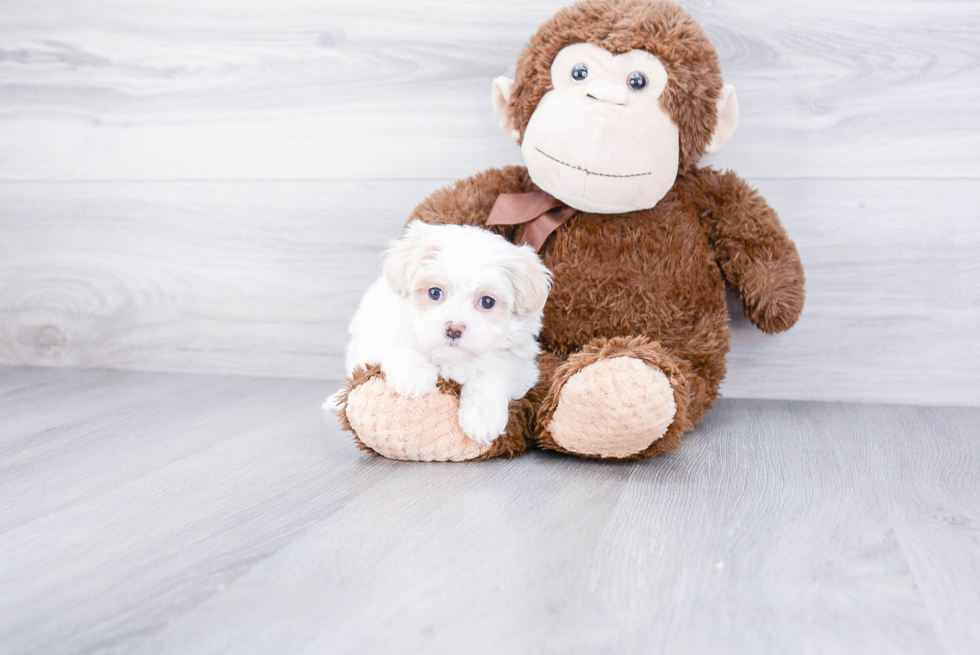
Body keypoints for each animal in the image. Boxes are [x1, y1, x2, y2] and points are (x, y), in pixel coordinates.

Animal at [332, 222, 552, 446]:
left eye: (487, 302)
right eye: (434, 293)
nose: (454, 329)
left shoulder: (521, 367)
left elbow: (492, 377)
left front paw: (482, 418)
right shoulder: (377, 333)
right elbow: (400, 347)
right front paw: (413, 375)